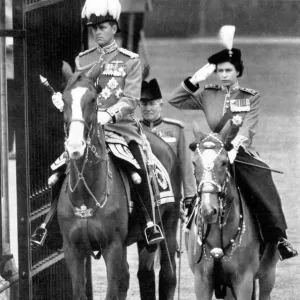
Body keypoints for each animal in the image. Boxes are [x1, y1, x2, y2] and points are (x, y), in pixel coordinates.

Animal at [57, 61, 182, 300]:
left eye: (93, 99)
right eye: (64, 99)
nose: (75, 146)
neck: (87, 194)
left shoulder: (112, 248)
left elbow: (113, 291)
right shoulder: (73, 250)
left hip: (169, 225)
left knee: (168, 275)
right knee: (139, 275)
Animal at [185, 124, 278, 300]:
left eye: (223, 163)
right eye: (193, 163)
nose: (208, 211)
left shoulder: (243, 281)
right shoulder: (202, 282)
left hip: (268, 274)